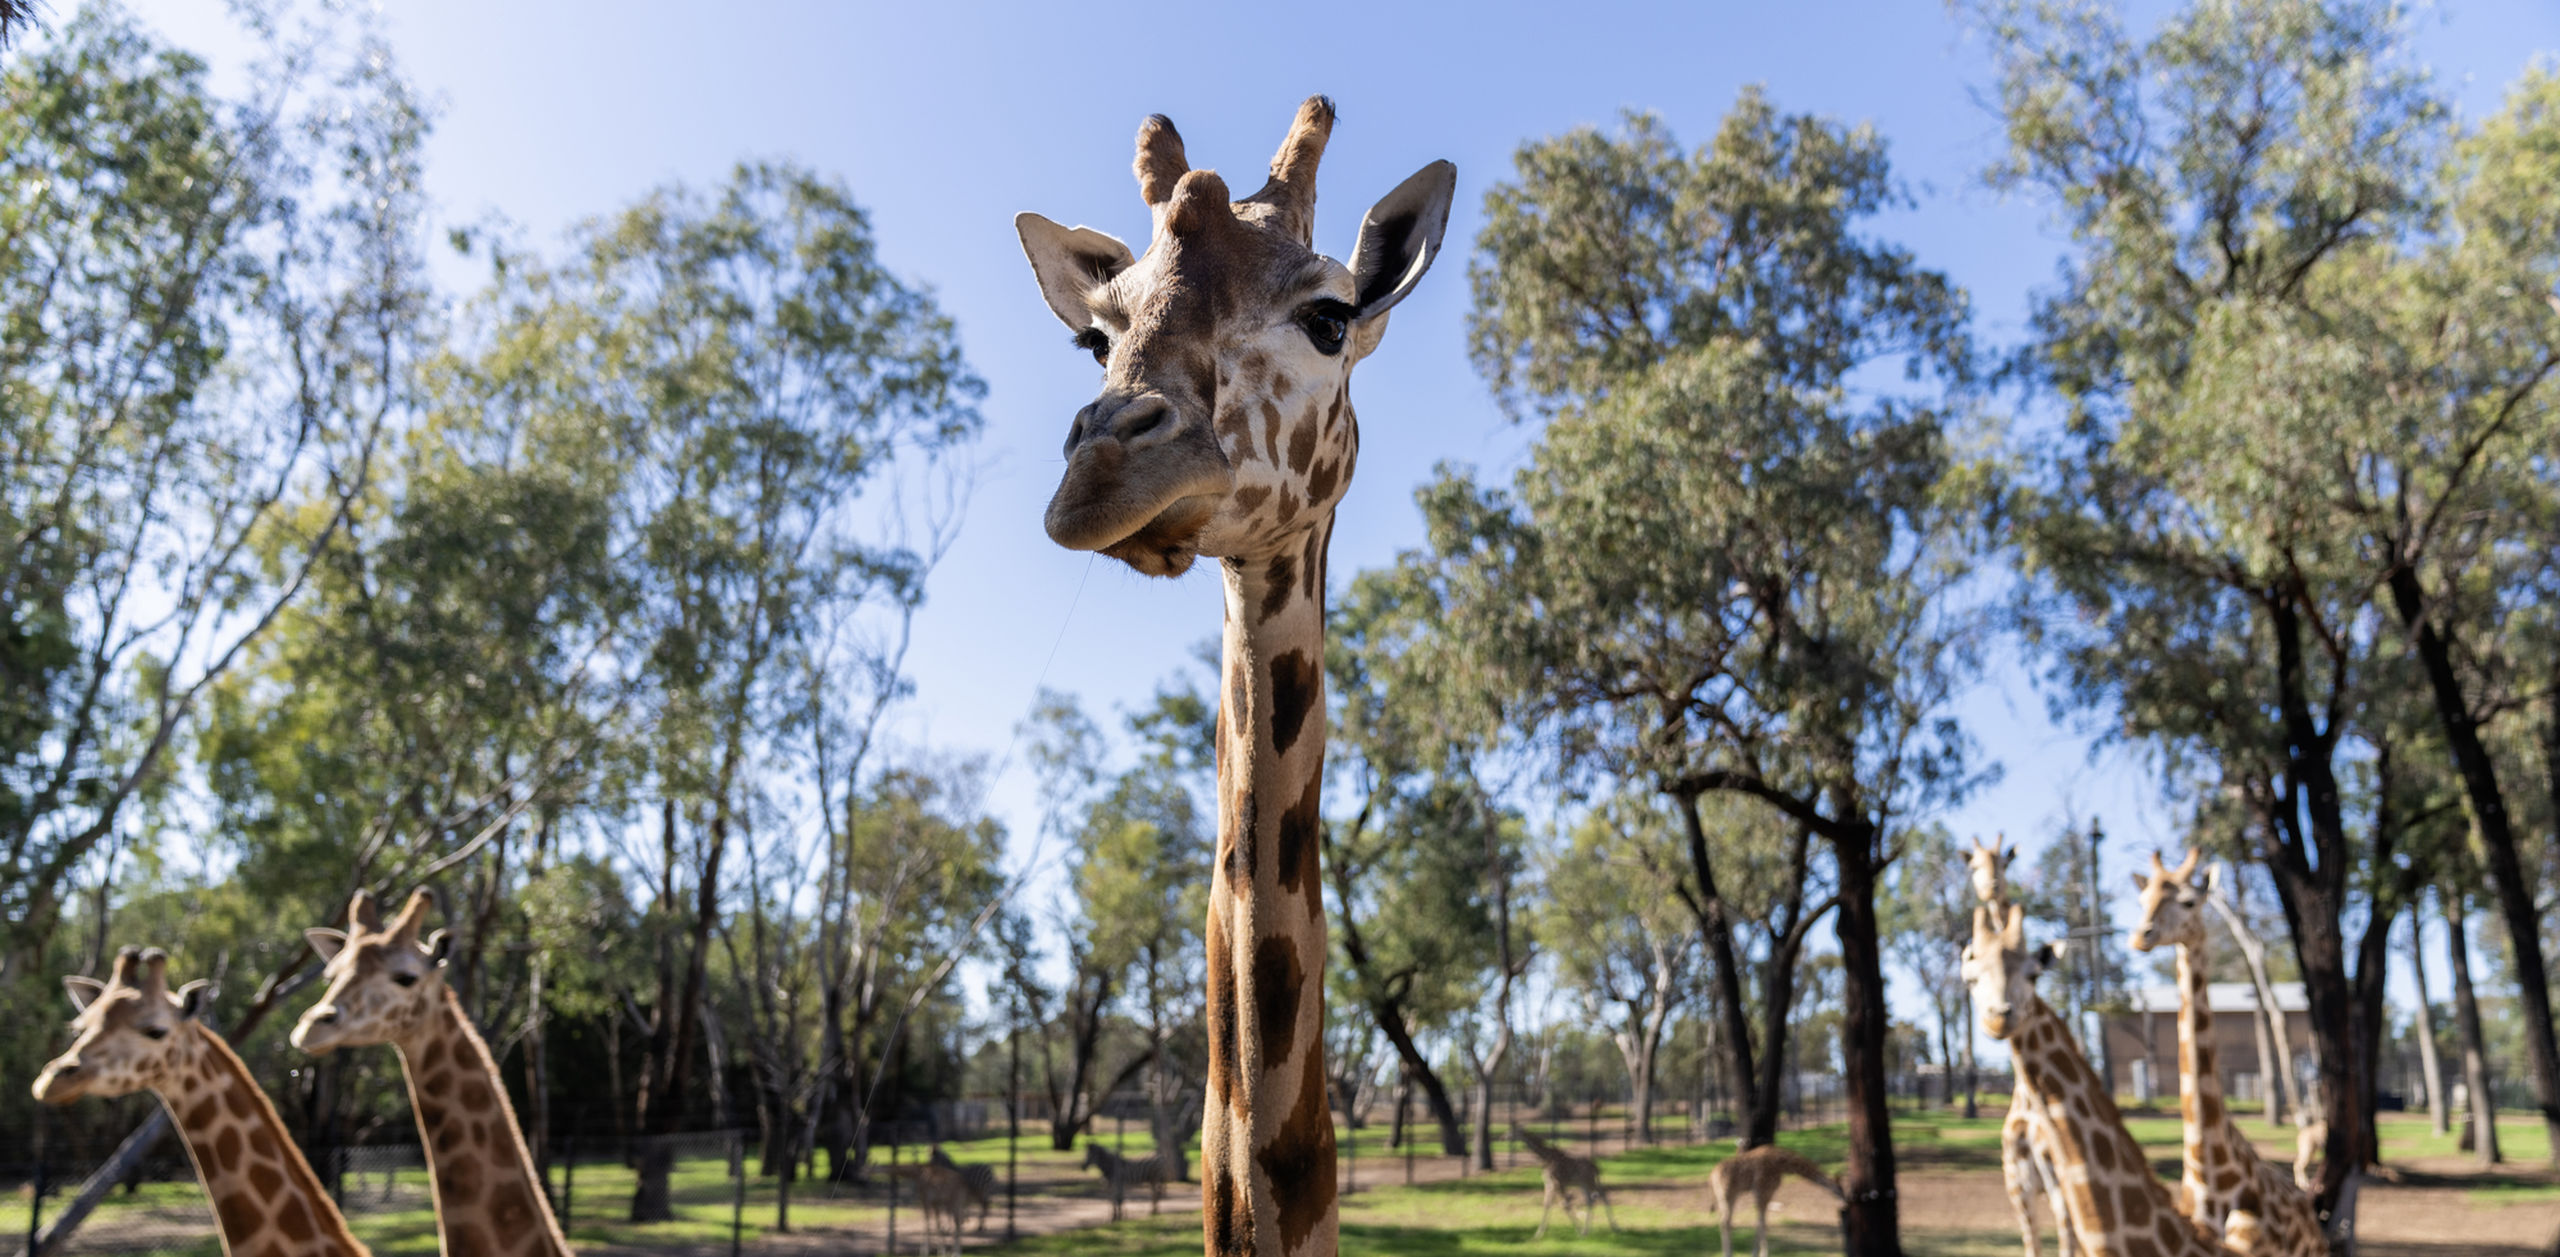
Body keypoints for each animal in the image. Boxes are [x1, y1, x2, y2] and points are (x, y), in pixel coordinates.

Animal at [1968, 834, 2078, 1257]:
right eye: (1973, 865)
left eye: (2004, 862)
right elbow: (2032, 1242)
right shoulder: (2017, 1183)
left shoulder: (2057, 1176)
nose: (1991, 887)